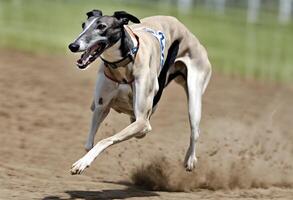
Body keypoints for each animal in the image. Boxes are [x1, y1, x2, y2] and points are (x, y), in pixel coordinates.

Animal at [68, 10, 210, 174]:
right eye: (83, 25)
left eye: (102, 26)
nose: (73, 46)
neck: (123, 64)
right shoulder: (101, 107)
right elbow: (89, 144)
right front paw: (85, 159)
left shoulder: (142, 121)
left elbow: (105, 140)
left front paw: (82, 163)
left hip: (195, 96)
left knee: (195, 131)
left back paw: (190, 159)